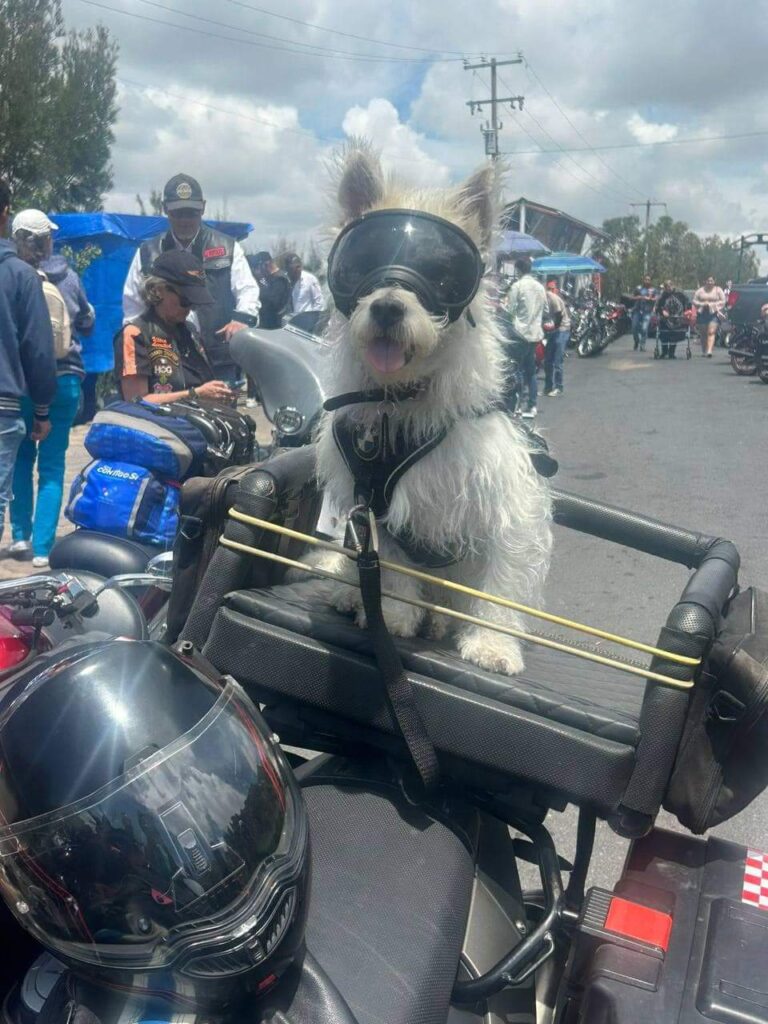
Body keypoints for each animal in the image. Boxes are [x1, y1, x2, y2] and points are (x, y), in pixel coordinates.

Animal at [313, 144, 552, 671]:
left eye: (443, 273)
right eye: (361, 263)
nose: (387, 306)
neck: (400, 401)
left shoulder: (507, 507)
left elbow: (500, 582)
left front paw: (492, 643)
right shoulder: (375, 511)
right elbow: (393, 569)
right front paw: (395, 616)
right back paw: (352, 595)